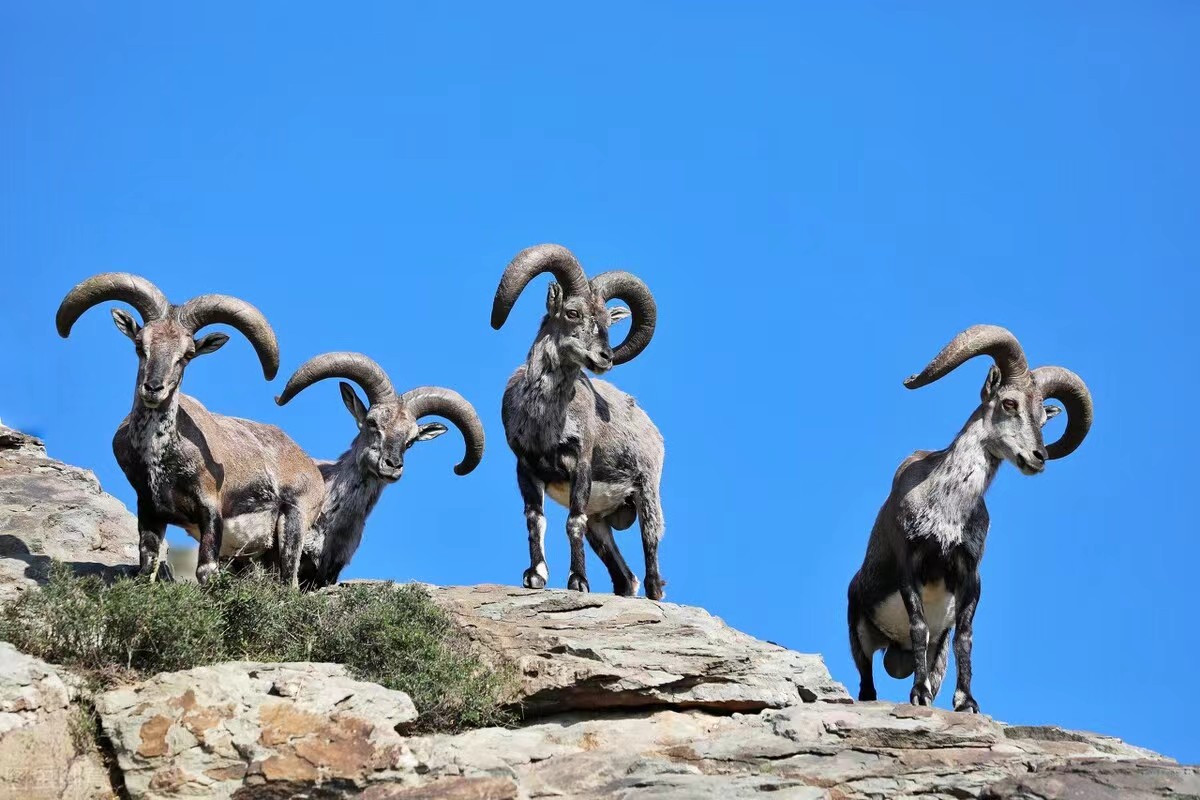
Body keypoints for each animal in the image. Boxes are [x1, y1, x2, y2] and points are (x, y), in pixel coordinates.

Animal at [56, 273, 325, 586]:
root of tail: (309, 465)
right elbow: (147, 563)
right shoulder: (149, 508)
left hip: (293, 522)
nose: (153, 388)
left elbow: (205, 569)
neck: (158, 456)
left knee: (288, 581)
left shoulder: (210, 506)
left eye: (187, 354)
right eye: (140, 345)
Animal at [491, 244, 667, 600]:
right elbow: (535, 519)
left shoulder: (580, 465)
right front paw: (535, 575)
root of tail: (654, 433)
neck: (544, 421)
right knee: (626, 578)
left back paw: (655, 593)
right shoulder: (526, 468)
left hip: (647, 492)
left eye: (607, 321)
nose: (605, 358)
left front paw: (578, 581)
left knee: (651, 552)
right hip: (602, 524)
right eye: (572, 313)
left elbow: (573, 521)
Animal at [847, 325, 1093, 712]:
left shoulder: (970, 575)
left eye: (1043, 418)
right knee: (866, 681)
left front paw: (966, 701)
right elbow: (918, 625)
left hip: (939, 654)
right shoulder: (909, 564)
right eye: (1009, 403)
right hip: (859, 631)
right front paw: (918, 695)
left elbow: (965, 636)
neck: (947, 507)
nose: (1038, 457)